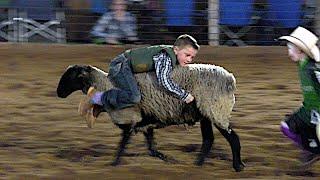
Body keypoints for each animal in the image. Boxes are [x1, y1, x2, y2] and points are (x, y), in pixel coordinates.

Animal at [57, 63, 245, 172]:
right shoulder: (144, 123)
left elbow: (121, 146)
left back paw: (237, 166)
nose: (58, 93)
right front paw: (169, 159)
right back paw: (197, 165)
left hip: (216, 109)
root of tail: (230, 80)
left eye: (70, 76)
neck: (106, 86)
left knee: (233, 138)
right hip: (205, 113)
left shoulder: (129, 119)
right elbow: (152, 150)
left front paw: (113, 165)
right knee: (208, 140)